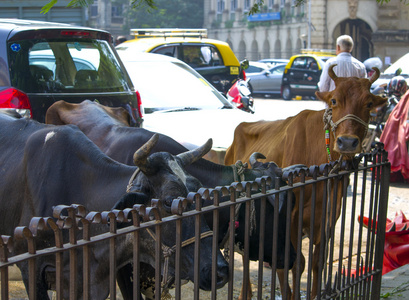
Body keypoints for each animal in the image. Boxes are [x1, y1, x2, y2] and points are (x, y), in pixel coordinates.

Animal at [223, 66, 386, 300]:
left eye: (369, 103)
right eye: (334, 100)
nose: (347, 142)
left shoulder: (329, 215)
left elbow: (318, 261)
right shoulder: (291, 216)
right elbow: (296, 262)